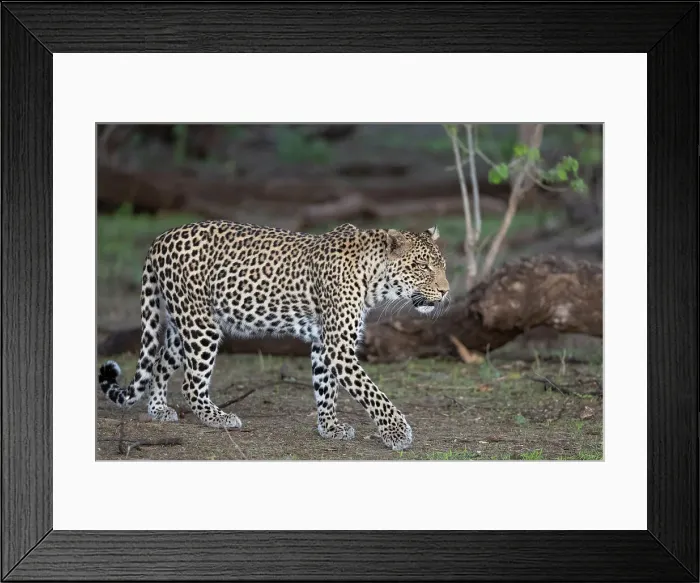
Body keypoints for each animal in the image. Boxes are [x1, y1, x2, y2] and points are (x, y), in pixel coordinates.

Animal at [97, 220, 450, 451]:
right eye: (422, 267)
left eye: (442, 265)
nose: (446, 291)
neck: (375, 279)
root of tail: (161, 237)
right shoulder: (338, 345)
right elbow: (372, 392)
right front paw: (397, 432)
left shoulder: (323, 342)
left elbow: (326, 388)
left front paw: (329, 428)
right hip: (201, 326)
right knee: (190, 384)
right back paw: (219, 418)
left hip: (180, 324)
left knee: (159, 364)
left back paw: (158, 409)